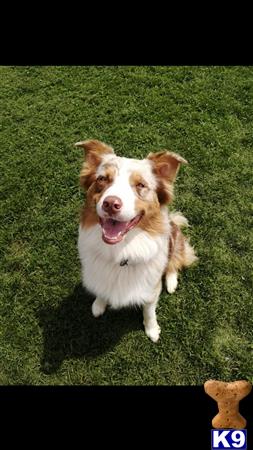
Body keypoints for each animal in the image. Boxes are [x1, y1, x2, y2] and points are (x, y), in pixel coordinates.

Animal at [76, 139, 197, 342]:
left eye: (140, 184)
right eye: (102, 179)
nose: (111, 204)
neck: (120, 252)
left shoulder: (151, 289)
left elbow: (149, 311)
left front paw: (152, 329)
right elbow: (102, 290)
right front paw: (99, 304)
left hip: (175, 239)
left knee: (174, 261)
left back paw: (171, 281)